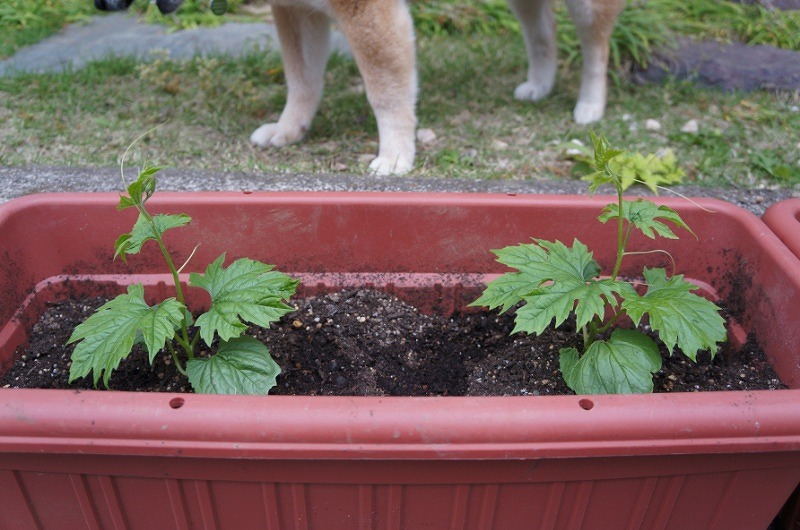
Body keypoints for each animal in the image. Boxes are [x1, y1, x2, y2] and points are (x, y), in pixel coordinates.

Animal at [96, 0, 624, 175]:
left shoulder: (368, 13)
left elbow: (386, 92)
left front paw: (396, 153)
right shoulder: (297, 11)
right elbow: (302, 81)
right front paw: (290, 129)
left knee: (596, 46)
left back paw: (590, 105)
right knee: (543, 31)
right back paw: (540, 83)